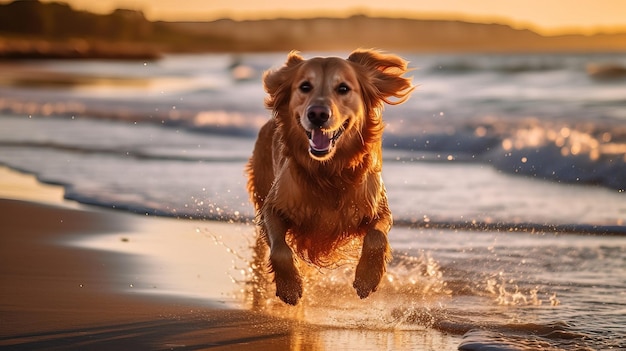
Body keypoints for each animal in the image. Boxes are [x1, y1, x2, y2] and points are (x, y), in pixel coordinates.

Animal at [246, 48, 412, 306]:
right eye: (305, 86)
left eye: (343, 88)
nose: (317, 114)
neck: (329, 172)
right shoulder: (272, 208)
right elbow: (280, 249)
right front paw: (290, 287)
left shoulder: (378, 208)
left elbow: (376, 237)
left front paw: (367, 278)